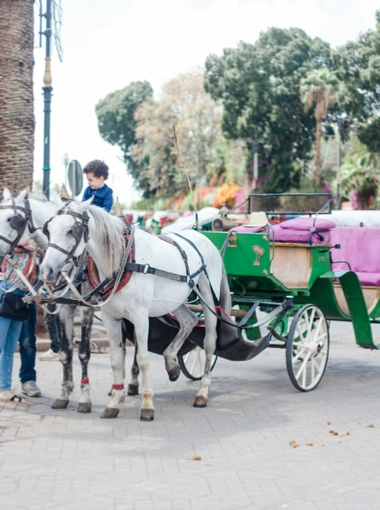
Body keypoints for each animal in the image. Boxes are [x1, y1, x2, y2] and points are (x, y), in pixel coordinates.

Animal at [0, 189, 95, 412]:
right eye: (49, 229)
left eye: (10, 220)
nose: (46, 271)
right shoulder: (64, 307)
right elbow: (66, 352)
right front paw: (64, 395)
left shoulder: (87, 308)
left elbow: (83, 353)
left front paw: (85, 399)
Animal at [39, 197, 232, 420]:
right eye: (48, 229)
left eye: (72, 230)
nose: (46, 271)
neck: (124, 261)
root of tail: (202, 236)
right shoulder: (110, 317)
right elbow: (115, 358)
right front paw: (114, 402)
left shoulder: (140, 316)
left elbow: (143, 359)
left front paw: (147, 404)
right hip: (174, 300)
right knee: (189, 320)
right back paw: (171, 362)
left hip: (208, 297)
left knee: (209, 342)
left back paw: (202, 392)